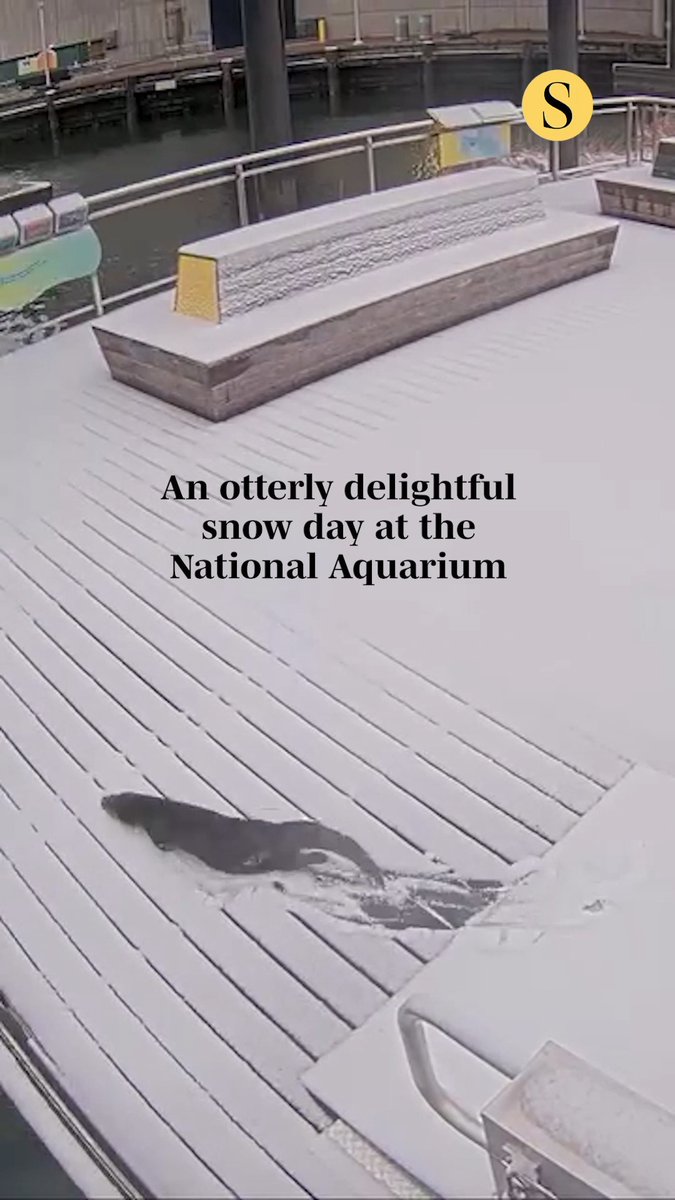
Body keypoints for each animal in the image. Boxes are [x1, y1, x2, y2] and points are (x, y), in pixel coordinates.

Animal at [101, 793, 384, 884]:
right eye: (115, 794)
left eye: (113, 803)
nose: (103, 799)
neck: (156, 810)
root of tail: (276, 830)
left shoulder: (157, 831)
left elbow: (161, 843)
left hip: (276, 856)